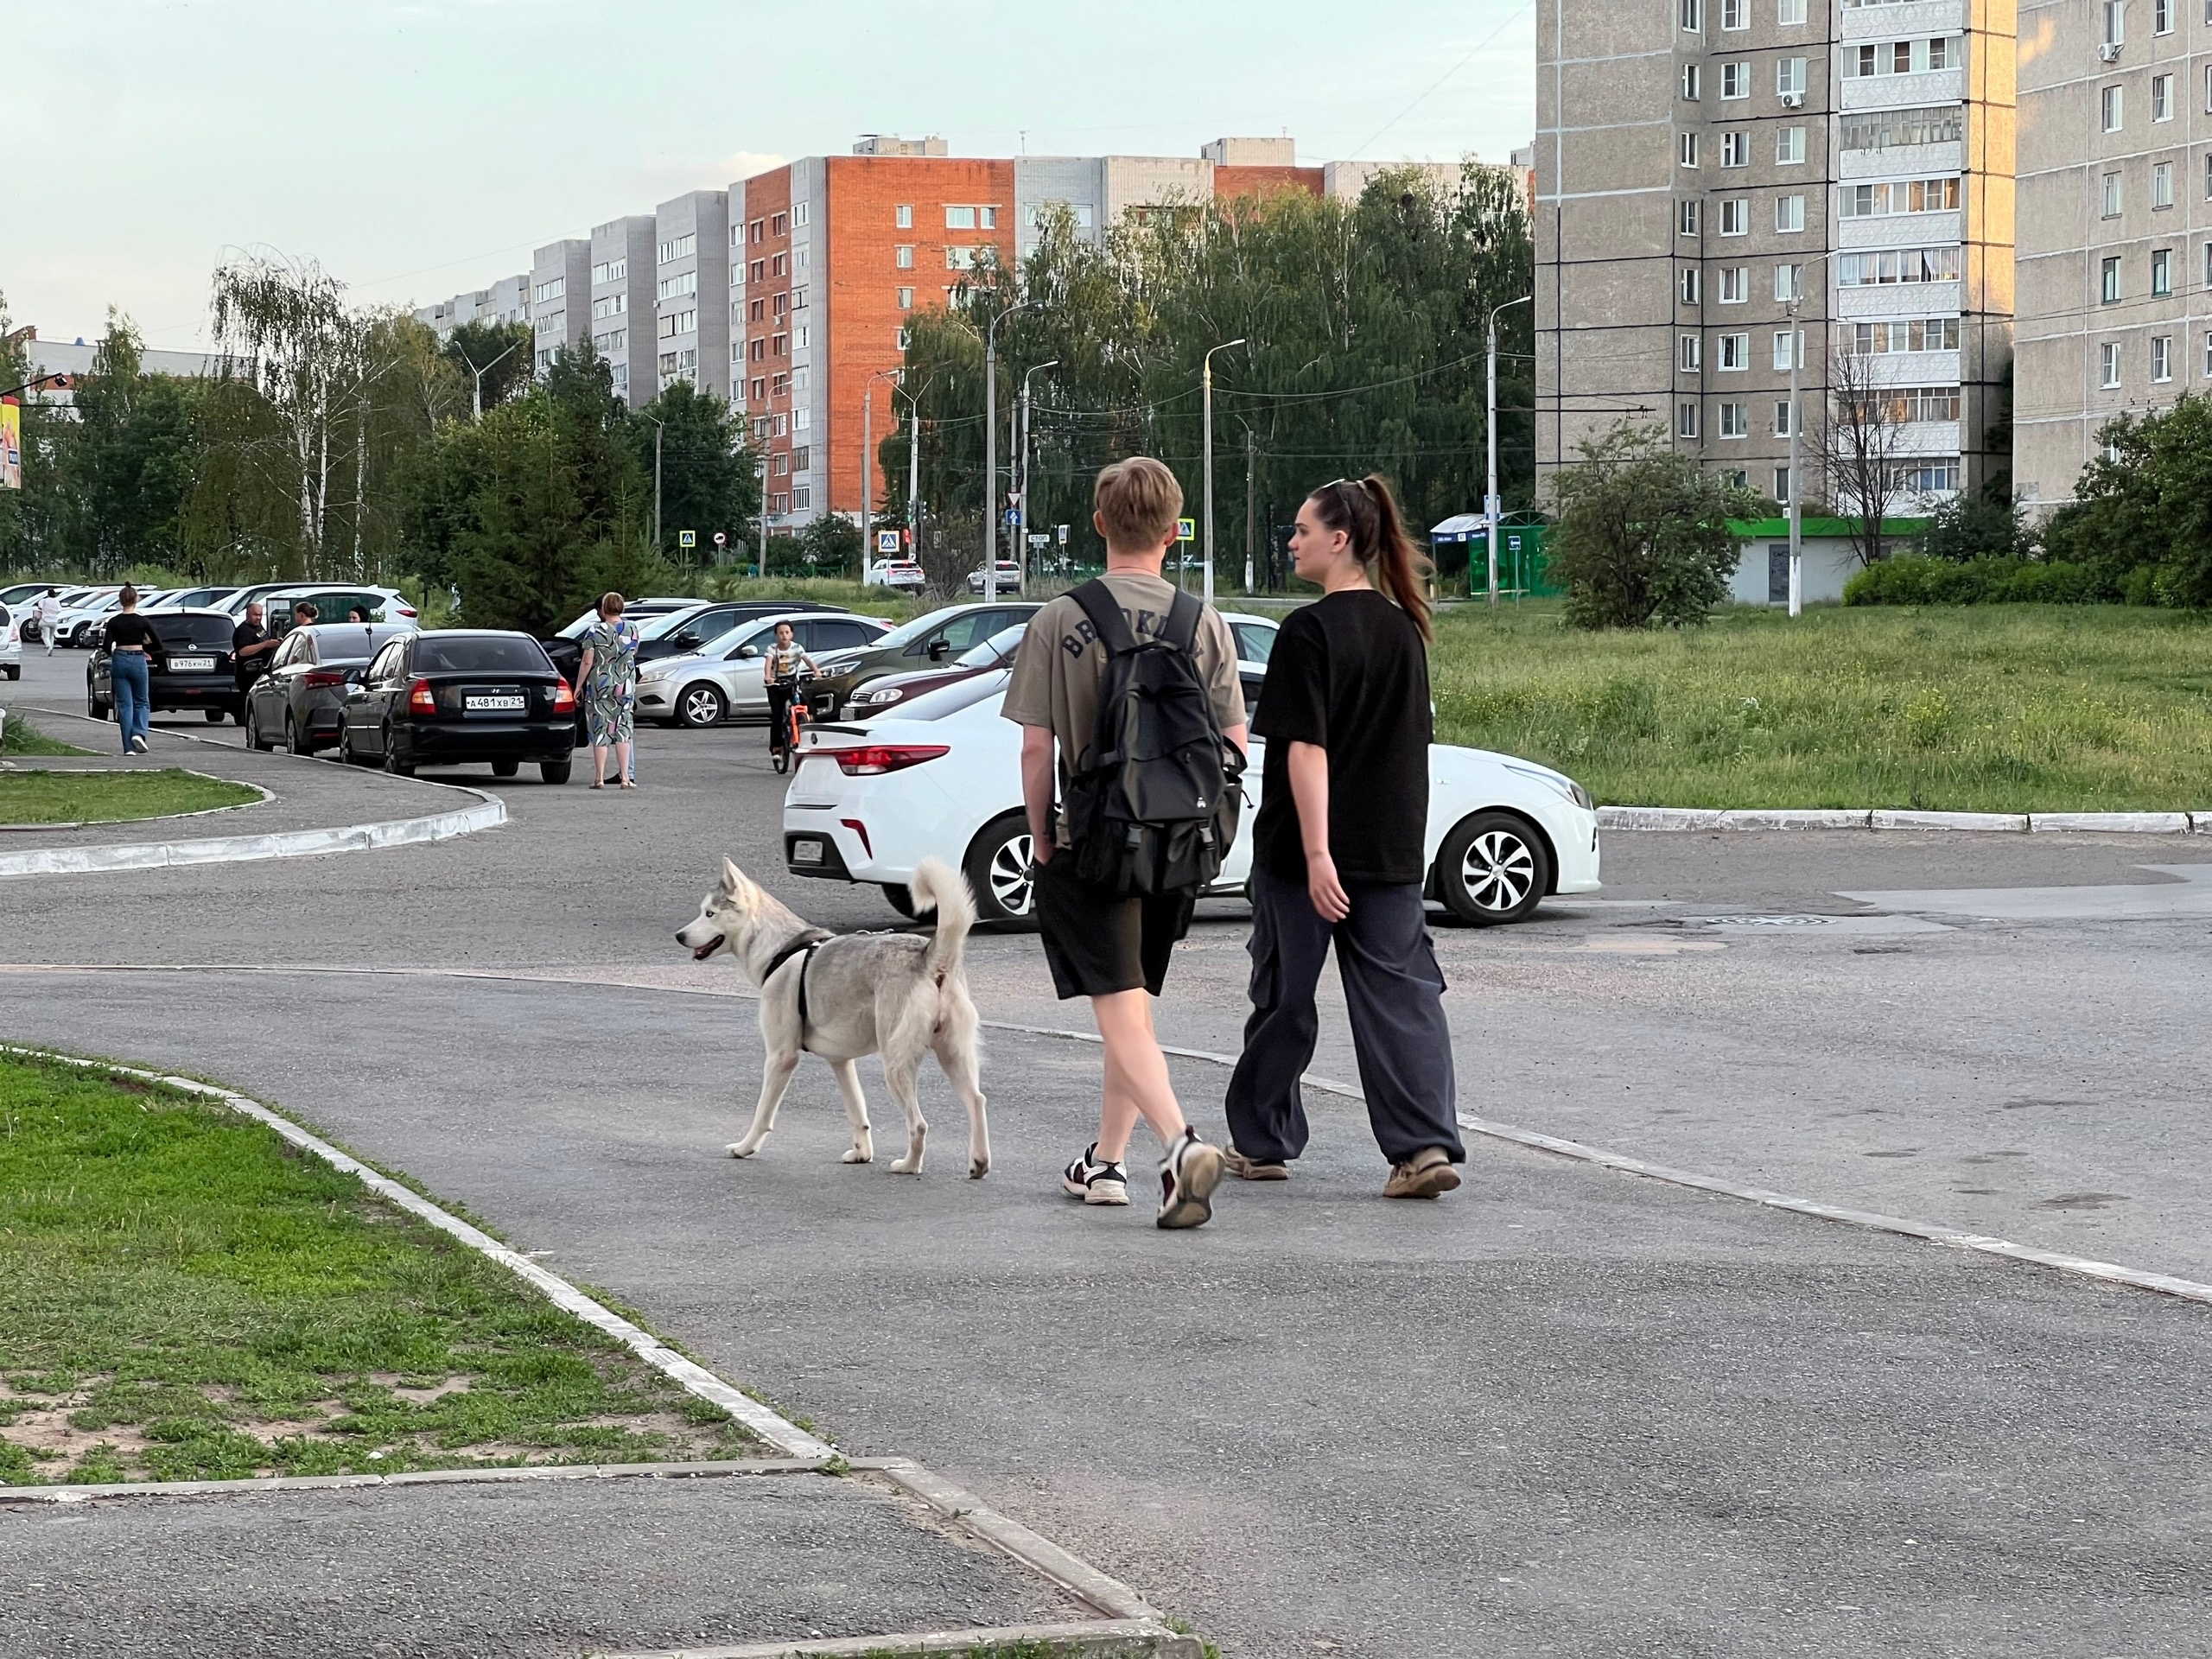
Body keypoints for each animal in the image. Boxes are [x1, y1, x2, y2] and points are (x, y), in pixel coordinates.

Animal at [672, 858, 986, 1185]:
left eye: (710, 913)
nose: (679, 936)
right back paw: (979, 1163)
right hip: (954, 1059)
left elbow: (762, 1115)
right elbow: (858, 1114)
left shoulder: (781, 1057)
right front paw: (862, 1154)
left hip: (895, 1066)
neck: (780, 948)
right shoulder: (841, 1062)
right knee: (977, 1101)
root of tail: (929, 956)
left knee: (920, 1124)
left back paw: (908, 1166)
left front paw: (745, 1148)